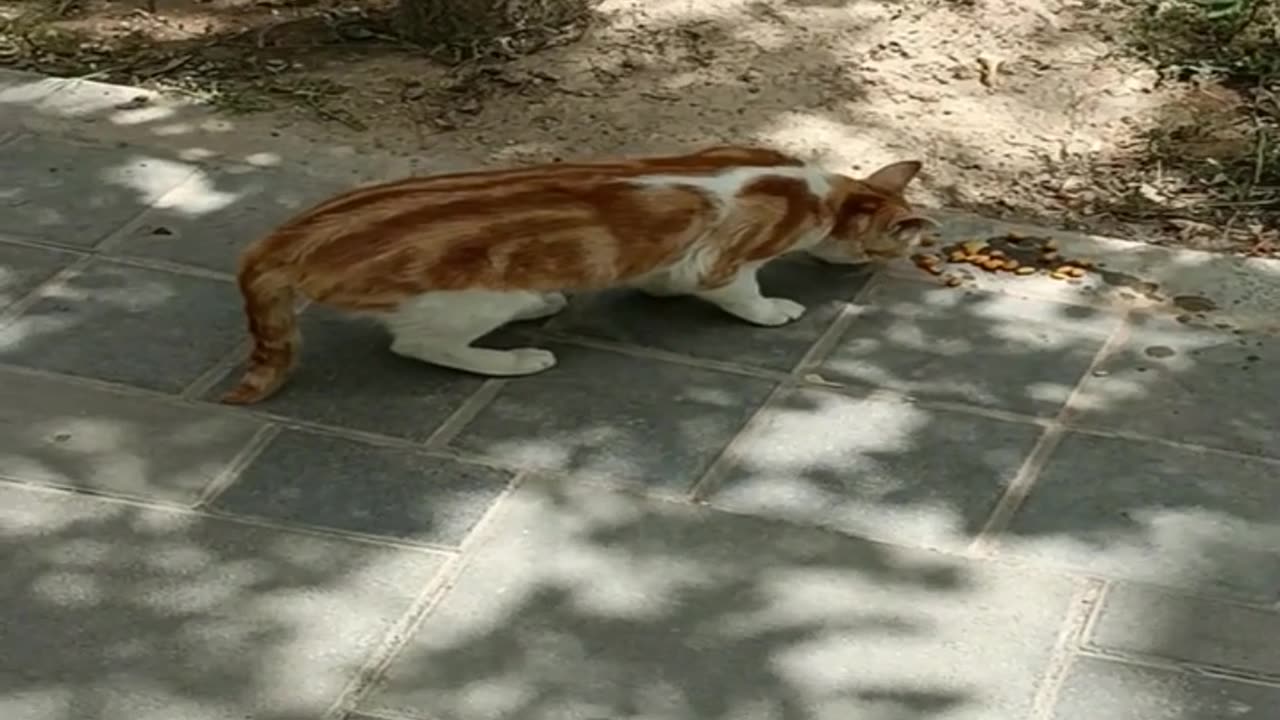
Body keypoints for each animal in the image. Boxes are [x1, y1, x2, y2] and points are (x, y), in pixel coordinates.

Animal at [220, 144, 936, 404]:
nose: (882, 265)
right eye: (885, 247)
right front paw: (775, 310)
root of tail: (289, 235)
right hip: (471, 298)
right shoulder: (724, 261)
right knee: (419, 344)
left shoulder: (677, 257)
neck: (814, 189)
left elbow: (662, 276)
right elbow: (742, 293)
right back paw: (517, 357)